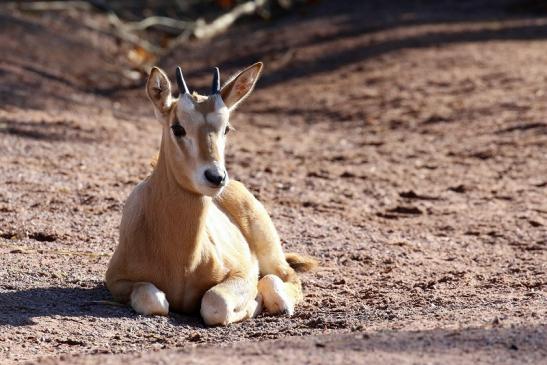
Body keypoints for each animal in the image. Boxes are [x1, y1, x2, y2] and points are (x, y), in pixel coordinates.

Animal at [106, 61, 316, 324]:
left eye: (226, 128)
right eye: (178, 127)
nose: (216, 177)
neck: (182, 260)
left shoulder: (243, 272)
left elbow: (215, 302)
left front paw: (254, 302)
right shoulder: (116, 280)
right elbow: (153, 299)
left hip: (270, 252)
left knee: (284, 277)